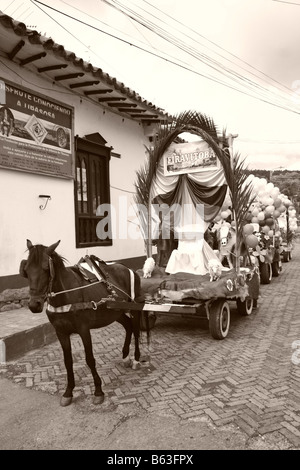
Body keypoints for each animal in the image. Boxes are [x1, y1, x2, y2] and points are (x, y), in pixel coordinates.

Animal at [18, 241, 146, 406]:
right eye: (26, 270)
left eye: (46, 268)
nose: (34, 305)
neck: (65, 296)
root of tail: (126, 268)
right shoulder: (61, 332)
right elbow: (67, 361)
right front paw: (68, 392)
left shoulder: (84, 329)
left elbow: (90, 359)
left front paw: (98, 391)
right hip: (115, 312)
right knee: (128, 326)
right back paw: (125, 356)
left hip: (134, 307)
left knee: (136, 331)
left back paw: (136, 359)